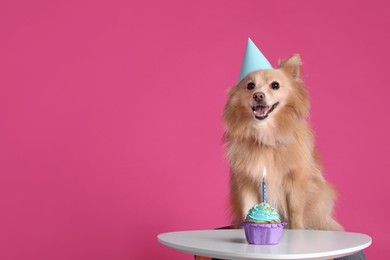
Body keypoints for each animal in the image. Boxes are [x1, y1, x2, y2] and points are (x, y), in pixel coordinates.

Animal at [224, 53, 342, 231]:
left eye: (275, 85)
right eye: (250, 85)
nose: (258, 95)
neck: (266, 136)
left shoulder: (295, 182)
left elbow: (295, 212)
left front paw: (297, 231)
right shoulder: (247, 182)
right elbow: (247, 207)